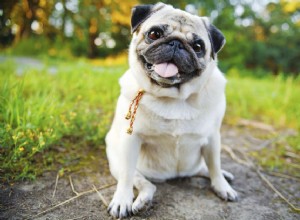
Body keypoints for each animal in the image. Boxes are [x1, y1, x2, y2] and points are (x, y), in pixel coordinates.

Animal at [106, 2, 238, 218]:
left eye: (198, 47)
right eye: (154, 34)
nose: (176, 44)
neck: (174, 97)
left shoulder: (212, 137)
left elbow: (215, 165)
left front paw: (222, 186)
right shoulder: (130, 140)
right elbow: (126, 177)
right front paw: (122, 200)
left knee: (206, 168)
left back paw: (224, 177)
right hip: (118, 160)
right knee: (145, 184)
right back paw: (142, 201)